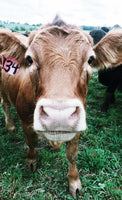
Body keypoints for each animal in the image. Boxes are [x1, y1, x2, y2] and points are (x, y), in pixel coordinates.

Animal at [0, 17, 122, 198]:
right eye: (29, 59)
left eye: (90, 60)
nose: (59, 115)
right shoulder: (26, 121)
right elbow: (31, 142)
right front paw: (31, 161)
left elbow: (72, 155)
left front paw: (74, 182)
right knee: (5, 105)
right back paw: (10, 126)